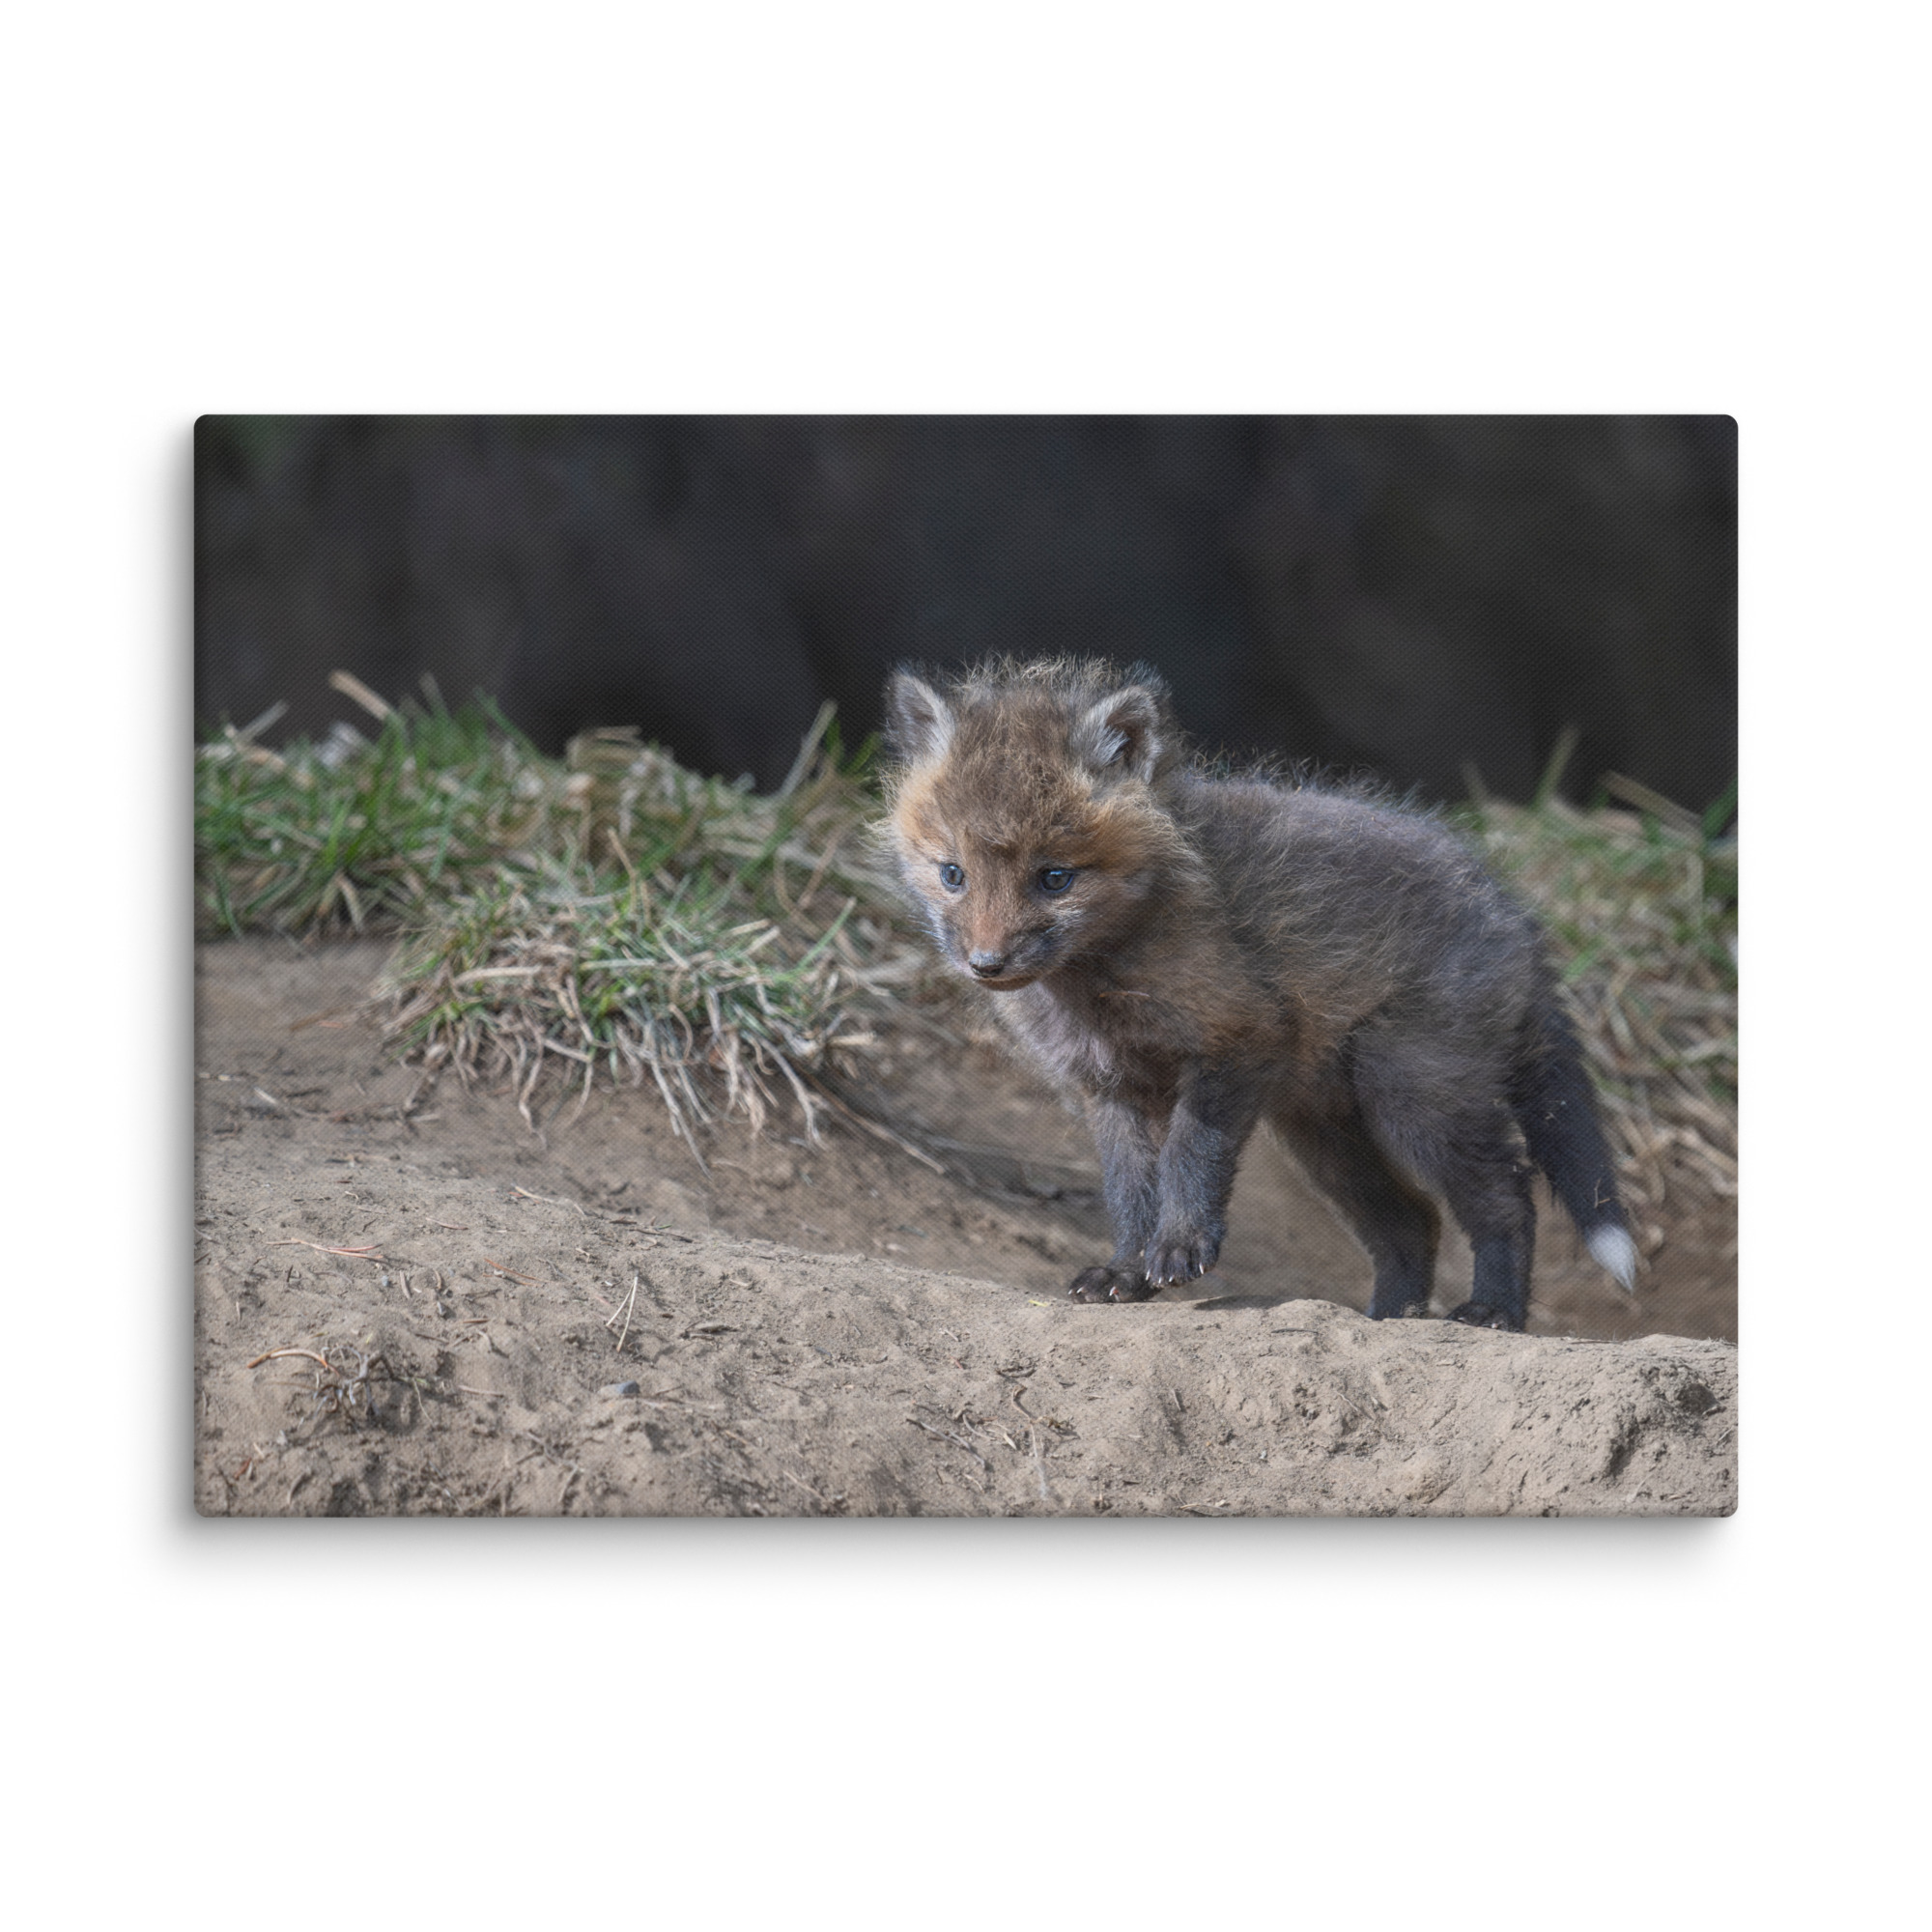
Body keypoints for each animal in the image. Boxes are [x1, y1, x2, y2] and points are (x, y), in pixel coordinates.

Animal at [879, 656, 1638, 1331]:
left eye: (1054, 878)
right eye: (953, 874)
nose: (986, 964)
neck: (1100, 985)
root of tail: (1514, 913)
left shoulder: (1238, 1037)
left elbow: (1190, 1156)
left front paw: (1180, 1247)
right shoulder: (1110, 1087)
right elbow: (1129, 1191)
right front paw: (1126, 1271)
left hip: (1415, 1097)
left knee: (1507, 1196)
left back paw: (1493, 1312)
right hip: (1325, 1133)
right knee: (1412, 1222)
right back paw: (1388, 1318)